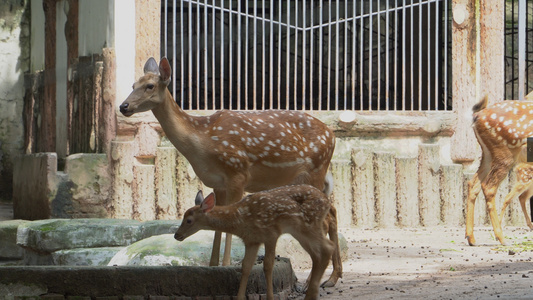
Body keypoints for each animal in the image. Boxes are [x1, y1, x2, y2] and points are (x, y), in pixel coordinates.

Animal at [118, 56, 340, 286]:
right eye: (133, 85)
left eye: (149, 86)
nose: (123, 106)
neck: (203, 143)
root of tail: (332, 135)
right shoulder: (218, 183)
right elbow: (216, 222)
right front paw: (212, 264)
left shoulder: (238, 173)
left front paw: (226, 264)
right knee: (332, 211)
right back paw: (332, 277)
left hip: (316, 171)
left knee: (328, 216)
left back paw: (323, 279)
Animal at [175, 185, 334, 300]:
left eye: (189, 220)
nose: (177, 235)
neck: (241, 218)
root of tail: (327, 201)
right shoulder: (252, 241)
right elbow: (246, 267)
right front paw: (239, 298)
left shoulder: (271, 233)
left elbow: (268, 266)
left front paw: (270, 297)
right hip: (300, 231)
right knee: (317, 254)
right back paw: (312, 292)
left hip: (309, 225)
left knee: (327, 248)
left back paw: (312, 292)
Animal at [464, 96, 532, 246]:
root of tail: (477, 116)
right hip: (505, 153)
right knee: (489, 187)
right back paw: (501, 238)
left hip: (488, 154)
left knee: (473, 183)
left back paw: (471, 238)